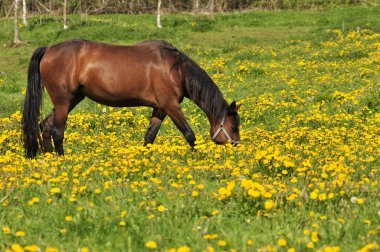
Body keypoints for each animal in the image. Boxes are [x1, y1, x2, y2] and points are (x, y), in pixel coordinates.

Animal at [20, 39, 240, 158]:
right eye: (233, 127)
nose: (237, 146)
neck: (176, 69)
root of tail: (48, 49)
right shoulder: (171, 106)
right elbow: (189, 134)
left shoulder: (160, 108)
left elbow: (149, 137)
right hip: (64, 102)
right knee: (57, 132)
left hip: (71, 100)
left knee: (45, 126)